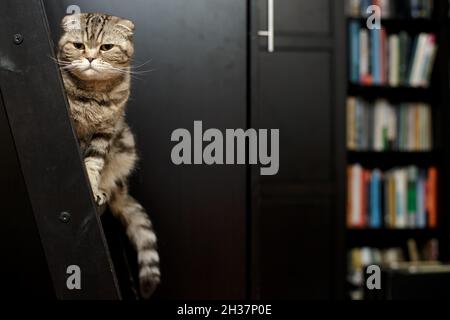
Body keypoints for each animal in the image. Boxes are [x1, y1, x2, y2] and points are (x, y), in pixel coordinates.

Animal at [57, 11, 160, 298]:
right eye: (78, 45)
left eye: (106, 47)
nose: (91, 58)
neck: (93, 94)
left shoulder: (104, 133)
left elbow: (93, 164)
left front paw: (92, 187)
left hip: (125, 146)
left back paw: (103, 190)